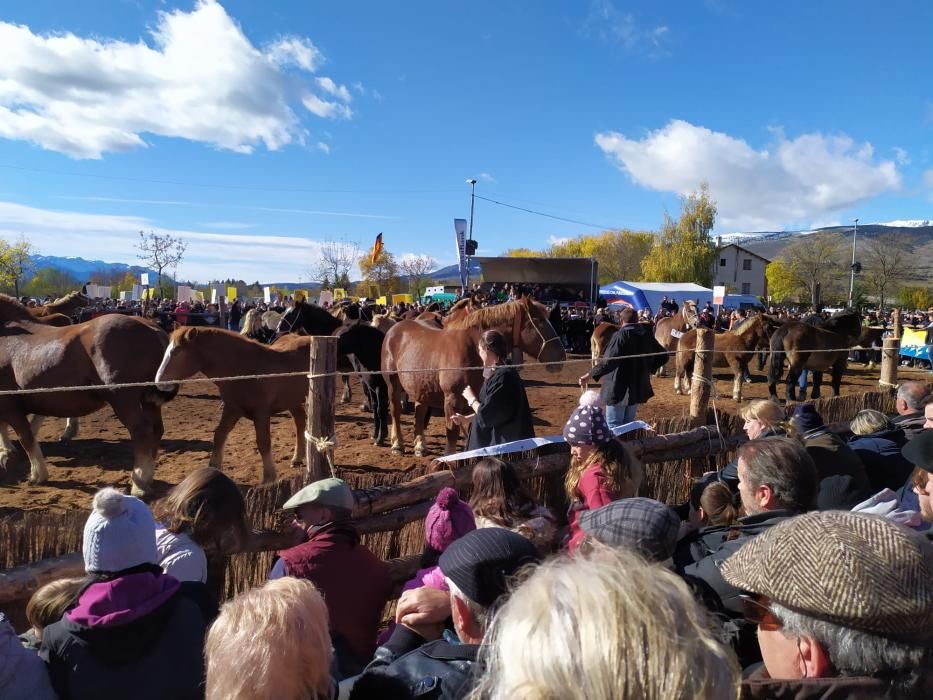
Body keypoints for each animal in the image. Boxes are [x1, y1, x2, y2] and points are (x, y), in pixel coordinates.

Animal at [0, 292, 175, 494]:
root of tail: (151, 328)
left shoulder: (10, 406)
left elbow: (26, 438)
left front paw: (38, 474)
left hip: (123, 400)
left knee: (141, 431)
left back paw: (139, 484)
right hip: (149, 401)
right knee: (156, 429)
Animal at [154, 326, 310, 482]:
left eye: (176, 352)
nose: (159, 382)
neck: (245, 370)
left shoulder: (261, 413)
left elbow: (263, 443)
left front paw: (269, 477)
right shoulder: (232, 409)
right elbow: (219, 435)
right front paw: (214, 467)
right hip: (292, 400)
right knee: (300, 421)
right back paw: (297, 458)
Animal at [378, 296, 560, 456]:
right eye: (539, 321)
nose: (560, 356)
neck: (471, 348)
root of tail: (394, 328)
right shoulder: (452, 398)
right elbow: (452, 432)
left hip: (420, 385)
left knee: (420, 412)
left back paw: (420, 446)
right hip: (393, 384)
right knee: (395, 411)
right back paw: (397, 445)